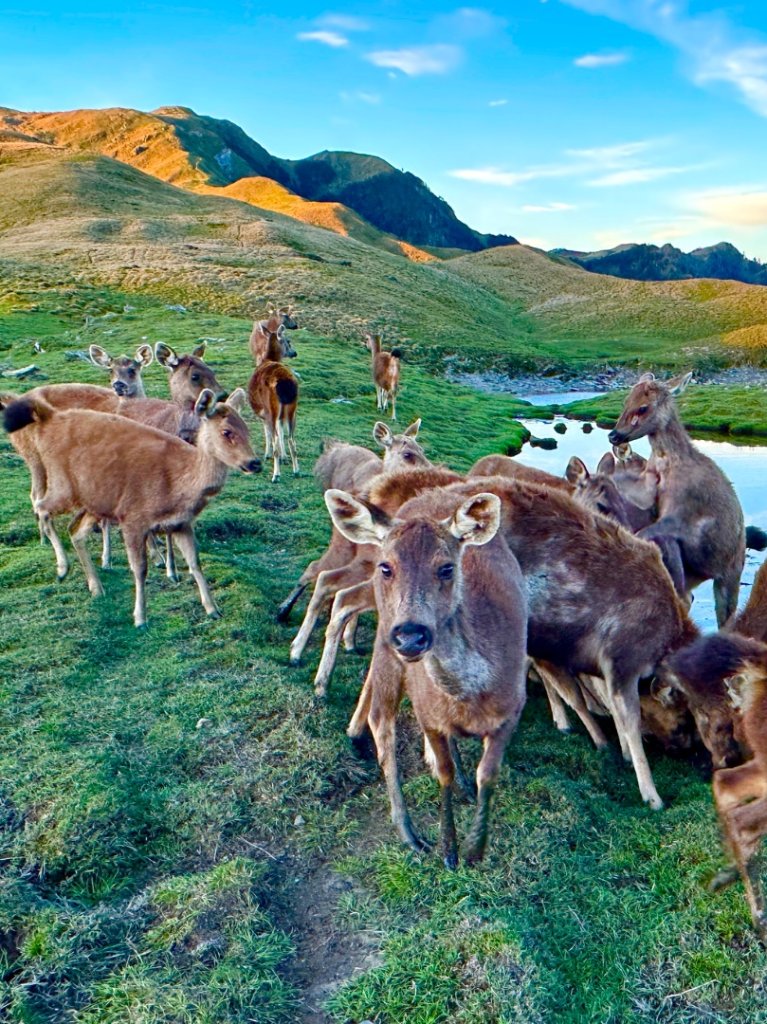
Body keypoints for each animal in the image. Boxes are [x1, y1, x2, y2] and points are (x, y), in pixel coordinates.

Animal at [2, 389, 261, 627]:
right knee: (41, 506)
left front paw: (213, 609)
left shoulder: (181, 523)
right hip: (62, 483)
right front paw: (140, 618)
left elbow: (195, 562)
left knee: (75, 530)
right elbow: (139, 569)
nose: (254, 463)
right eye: (226, 432)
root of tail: (50, 417)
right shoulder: (133, 517)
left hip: (96, 500)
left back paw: (96, 587)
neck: (178, 485)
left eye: (247, 429)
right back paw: (62, 568)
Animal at [248, 330, 299, 482]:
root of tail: (284, 383)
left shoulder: (263, 413)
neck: (268, 358)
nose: (294, 352)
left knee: (275, 438)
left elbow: (268, 433)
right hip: (292, 409)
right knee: (292, 439)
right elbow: (281, 432)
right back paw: (297, 471)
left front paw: (267, 454)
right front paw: (284, 457)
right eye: (288, 341)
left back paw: (276, 475)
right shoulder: (280, 416)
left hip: (271, 408)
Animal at [326, 486, 528, 866]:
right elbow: (443, 771)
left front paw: (475, 849)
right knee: (380, 718)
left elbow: (488, 775)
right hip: (384, 642)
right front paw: (449, 851)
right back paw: (409, 832)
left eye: (446, 568)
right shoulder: (427, 713)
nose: (411, 636)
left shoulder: (513, 709)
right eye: (386, 567)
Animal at [609, 372, 745, 626]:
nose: (614, 435)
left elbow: (641, 533)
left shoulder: (680, 513)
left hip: (730, 574)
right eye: (625, 401)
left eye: (643, 407)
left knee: (725, 615)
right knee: (688, 596)